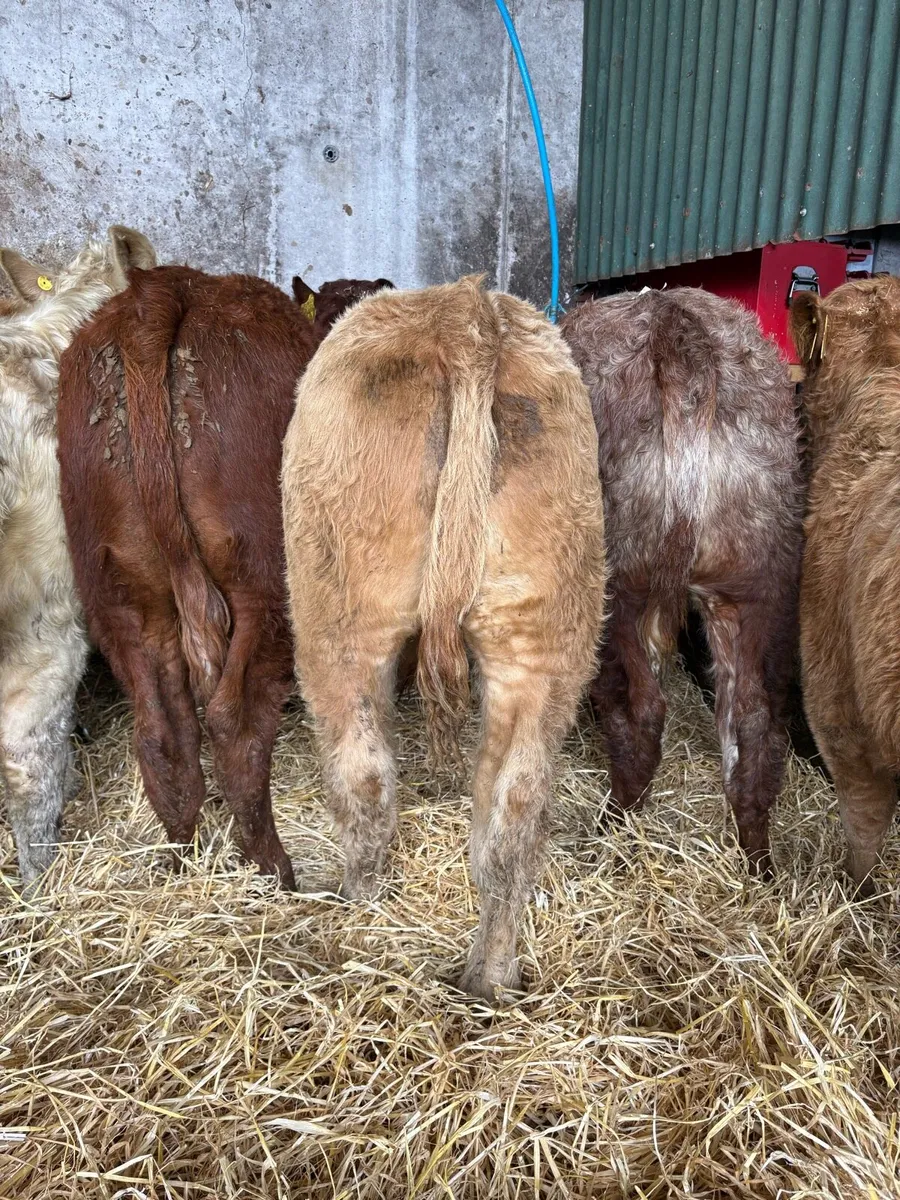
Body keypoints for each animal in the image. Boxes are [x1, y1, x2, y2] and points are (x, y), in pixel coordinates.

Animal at [57, 266, 392, 889]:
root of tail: (156, 296)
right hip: (266, 585)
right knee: (233, 724)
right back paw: (275, 870)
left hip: (119, 595)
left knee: (161, 731)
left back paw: (180, 854)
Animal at [281, 275, 606, 1000]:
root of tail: (463, 310)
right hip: (542, 636)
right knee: (515, 810)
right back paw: (490, 978)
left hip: (335, 616)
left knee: (365, 773)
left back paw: (360, 913)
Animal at [562, 287, 802, 873]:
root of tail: (680, 330)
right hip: (751, 582)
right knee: (753, 720)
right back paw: (757, 861)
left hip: (622, 580)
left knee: (642, 711)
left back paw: (610, 831)